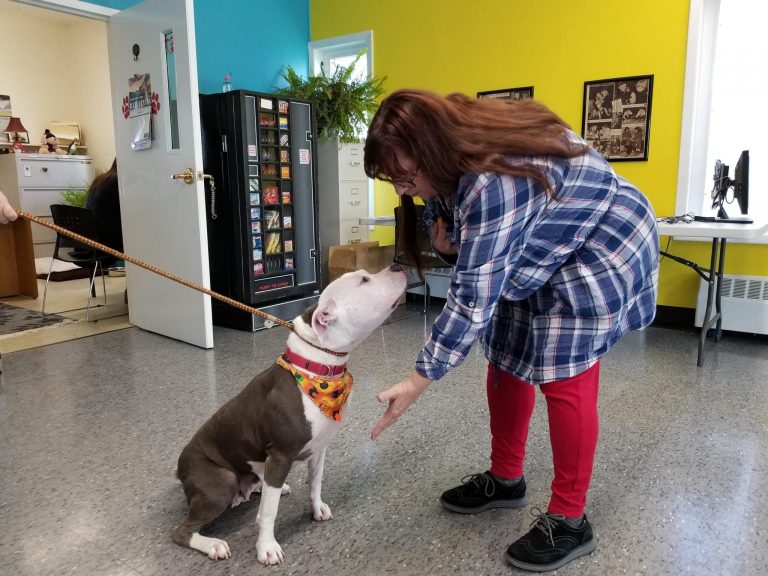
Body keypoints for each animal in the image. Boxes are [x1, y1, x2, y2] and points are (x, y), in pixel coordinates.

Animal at [173, 264, 408, 564]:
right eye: (364, 280)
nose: (397, 265)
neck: (316, 369)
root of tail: (180, 470)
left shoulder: (319, 449)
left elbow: (315, 482)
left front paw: (316, 508)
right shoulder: (280, 456)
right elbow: (268, 513)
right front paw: (266, 547)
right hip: (220, 482)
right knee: (183, 531)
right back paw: (213, 544)